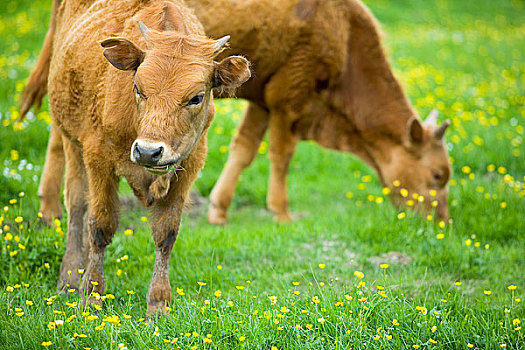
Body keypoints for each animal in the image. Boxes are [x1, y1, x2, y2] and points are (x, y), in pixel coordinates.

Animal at [21, 0, 250, 314]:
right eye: (138, 88)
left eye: (196, 97)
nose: (148, 151)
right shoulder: (98, 158)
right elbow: (101, 225)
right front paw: (91, 297)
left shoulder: (189, 166)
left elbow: (166, 232)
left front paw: (158, 304)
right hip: (71, 140)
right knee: (77, 204)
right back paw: (68, 279)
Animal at [25, 0, 450, 227]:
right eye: (437, 175)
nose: (442, 222)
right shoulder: (290, 96)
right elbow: (281, 155)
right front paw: (281, 213)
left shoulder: (263, 99)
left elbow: (244, 150)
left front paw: (219, 210)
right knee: (60, 137)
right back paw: (49, 210)